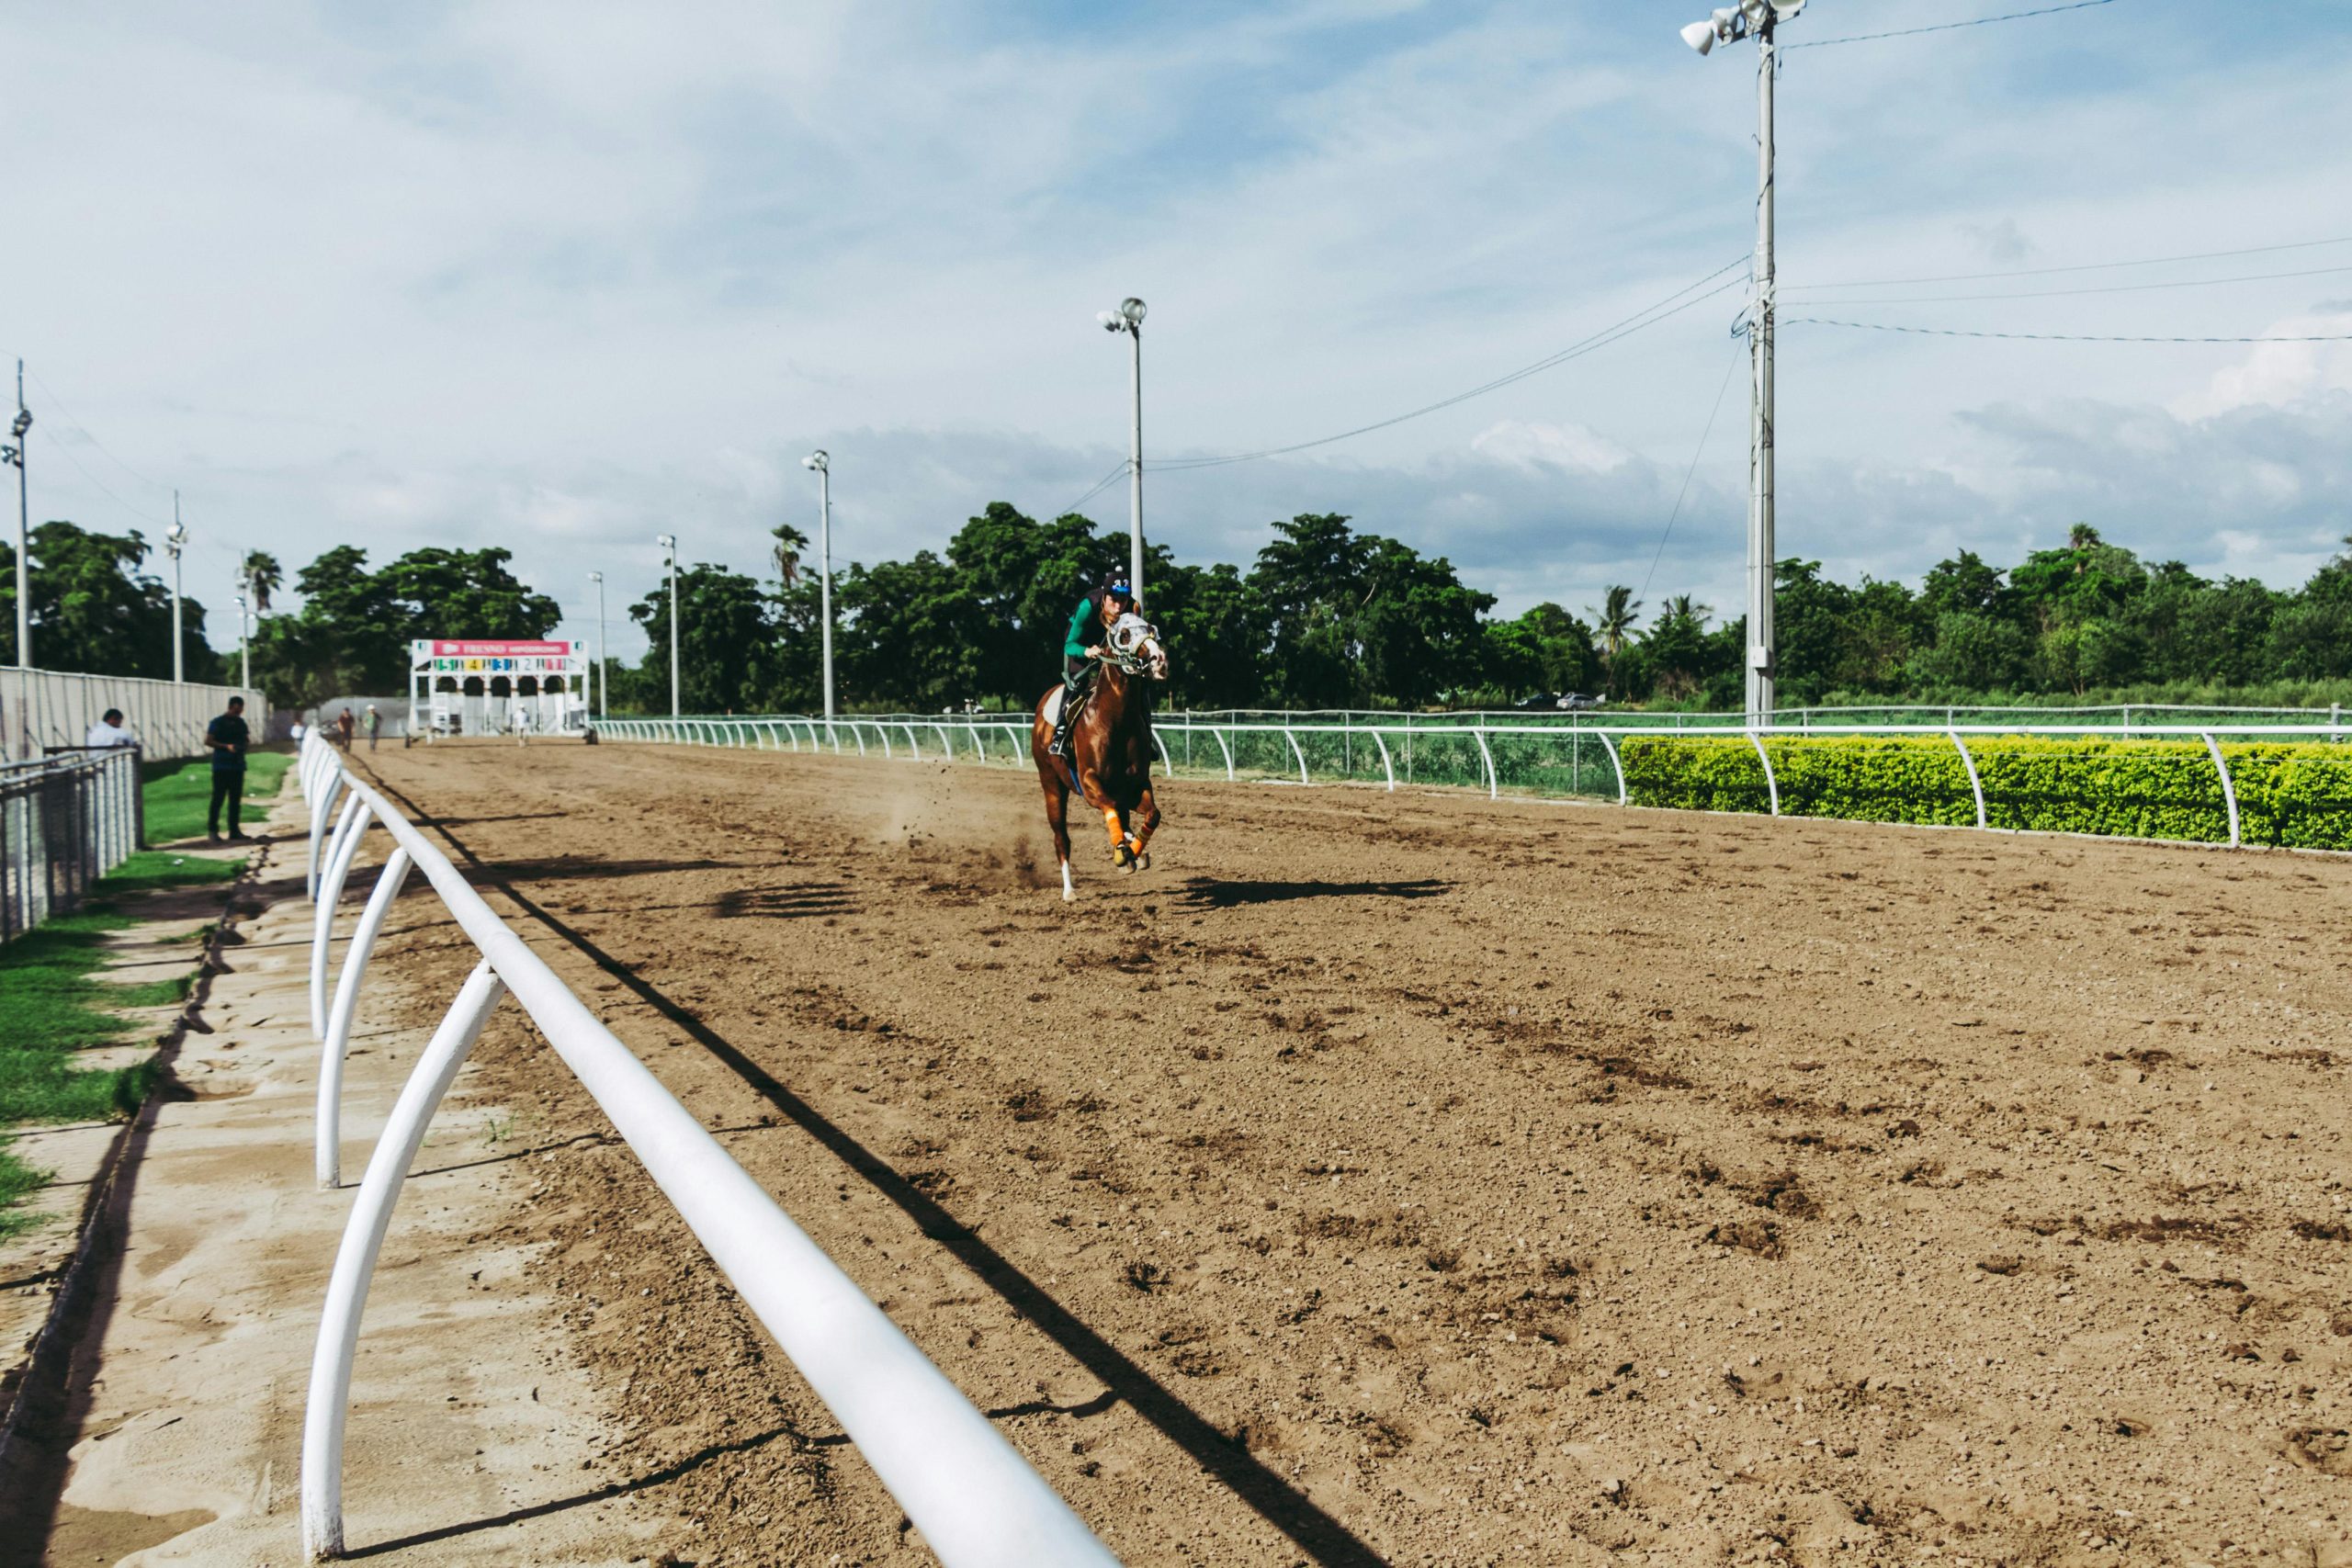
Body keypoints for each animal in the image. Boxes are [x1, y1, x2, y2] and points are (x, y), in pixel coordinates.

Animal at [1030, 611, 1170, 901]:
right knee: (1061, 837)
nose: (1159, 659)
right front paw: (1122, 852)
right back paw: (1069, 890)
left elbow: (1153, 814)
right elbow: (1110, 806)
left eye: (1151, 629)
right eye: (1123, 635)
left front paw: (1133, 850)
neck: (1115, 720)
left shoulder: (1136, 785)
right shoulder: (1090, 783)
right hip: (1051, 783)